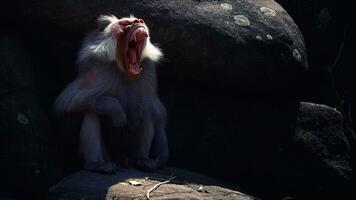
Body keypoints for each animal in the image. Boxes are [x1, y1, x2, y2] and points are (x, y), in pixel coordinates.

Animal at [54, 14, 168, 173]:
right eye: (125, 23)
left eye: (139, 21)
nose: (139, 22)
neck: (124, 72)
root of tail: (122, 159)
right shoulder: (99, 72)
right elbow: (68, 104)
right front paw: (116, 111)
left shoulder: (149, 74)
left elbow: (156, 114)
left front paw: (160, 159)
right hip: (108, 153)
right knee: (91, 112)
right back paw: (97, 165)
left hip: (130, 150)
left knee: (146, 112)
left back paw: (143, 160)